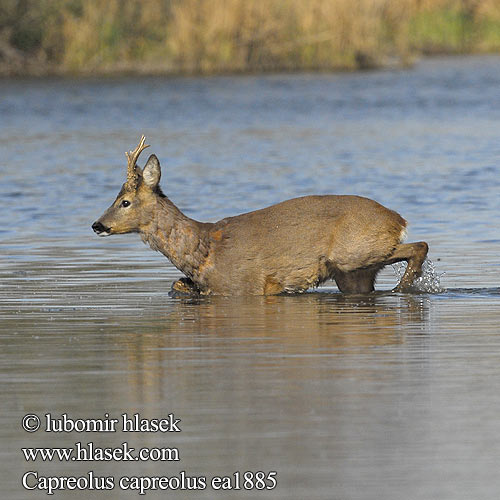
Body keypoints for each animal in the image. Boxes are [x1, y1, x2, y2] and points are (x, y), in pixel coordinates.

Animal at [93, 135, 430, 294]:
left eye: (124, 202)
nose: (97, 224)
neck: (204, 250)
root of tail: (398, 220)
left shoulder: (245, 286)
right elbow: (177, 286)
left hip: (354, 252)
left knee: (420, 245)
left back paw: (403, 288)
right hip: (352, 274)